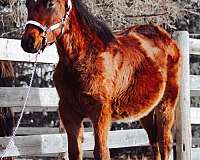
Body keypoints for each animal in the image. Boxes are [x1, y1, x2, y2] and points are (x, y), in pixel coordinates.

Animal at [21, 0, 182, 160]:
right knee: (154, 143)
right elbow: (75, 151)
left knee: (164, 143)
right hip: (146, 111)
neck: (83, 57)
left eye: (50, 3)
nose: (28, 42)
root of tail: (167, 38)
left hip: (166, 105)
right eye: (27, 4)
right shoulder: (69, 111)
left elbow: (101, 152)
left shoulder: (100, 112)